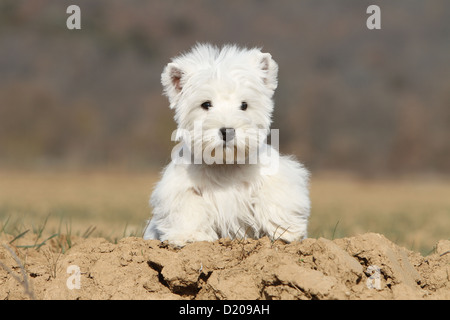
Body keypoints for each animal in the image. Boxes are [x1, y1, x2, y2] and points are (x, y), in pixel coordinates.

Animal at [144, 43, 310, 246]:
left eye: (244, 105)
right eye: (206, 104)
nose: (227, 131)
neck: (225, 164)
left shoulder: (275, 175)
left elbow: (275, 195)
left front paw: (286, 231)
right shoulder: (180, 189)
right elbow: (188, 208)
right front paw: (190, 237)